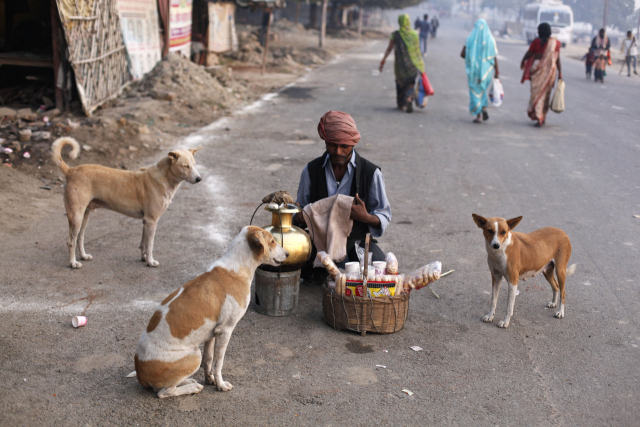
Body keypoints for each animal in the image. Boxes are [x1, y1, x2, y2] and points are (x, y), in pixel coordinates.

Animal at [52, 137, 202, 270]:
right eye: (185, 166)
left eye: (194, 165)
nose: (199, 179)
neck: (163, 177)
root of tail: (70, 170)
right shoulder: (151, 221)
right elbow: (150, 245)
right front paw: (150, 261)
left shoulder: (146, 221)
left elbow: (143, 243)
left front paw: (144, 258)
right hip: (76, 216)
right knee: (71, 241)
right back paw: (73, 263)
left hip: (85, 215)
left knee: (80, 238)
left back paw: (83, 256)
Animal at [129, 229, 288, 400]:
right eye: (272, 241)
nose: (288, 253)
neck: (237, 268)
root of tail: (140, 374)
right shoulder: (225, 331)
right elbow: (218, 364)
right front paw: (221, 385)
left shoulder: (212, 333)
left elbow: (209, 360)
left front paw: (210, 379)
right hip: (194, 355)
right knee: (163, 392)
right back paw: (192, 387)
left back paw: (189, 381)